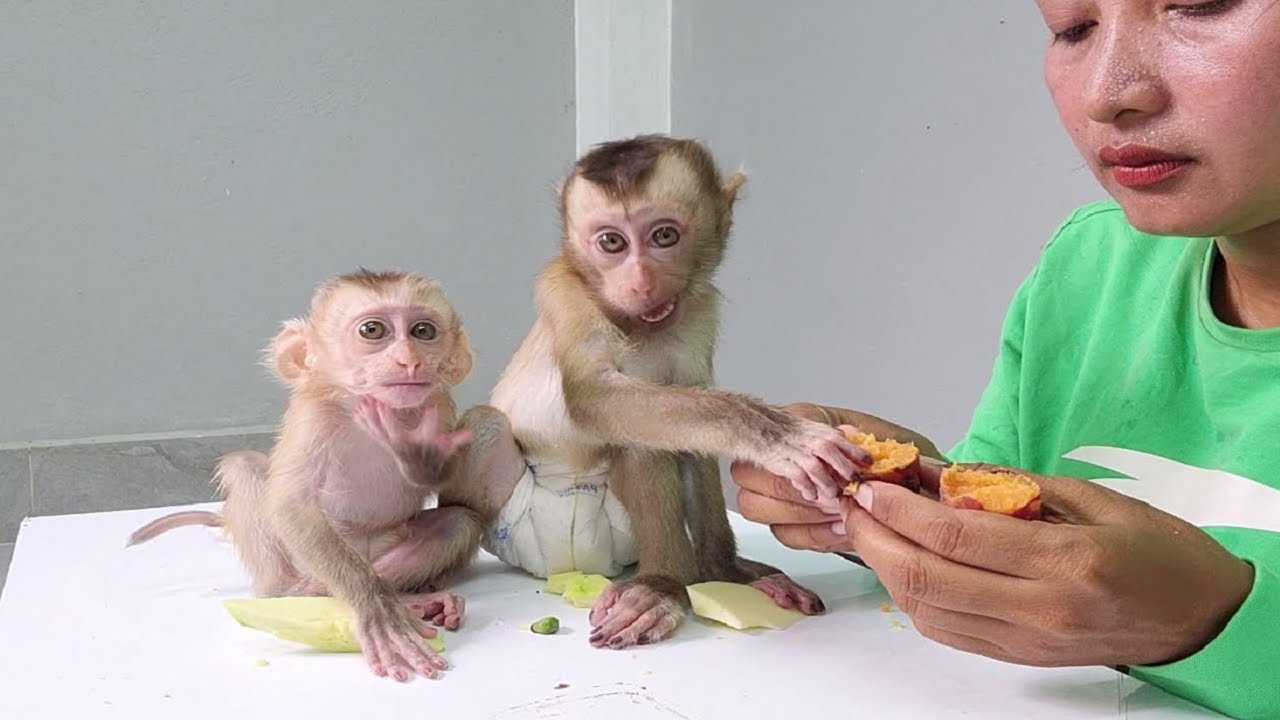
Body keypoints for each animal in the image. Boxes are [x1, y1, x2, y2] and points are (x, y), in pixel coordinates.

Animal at [126, 269, 495, 682]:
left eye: (423, 332)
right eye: (372, 330)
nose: (409, 361)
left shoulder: (439, 403)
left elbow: (445, 484)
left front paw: (413, 451)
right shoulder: (313, 416)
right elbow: (291, 505)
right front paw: (375, 606)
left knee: (458, 523)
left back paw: (406, 597)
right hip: (303, 558)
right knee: (245, 467)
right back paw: (298, 592)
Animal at [476, 134, 872, 650]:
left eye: (664, 236)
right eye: (611, 242)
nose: (640, 282)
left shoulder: (700, 308)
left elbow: (694, 412)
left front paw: (725, 568)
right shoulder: (564, 291)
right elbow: (595, 399)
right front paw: (777, 435)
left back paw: (699, 574)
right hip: (521, 531)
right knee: (635, 438)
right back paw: (662, 586)